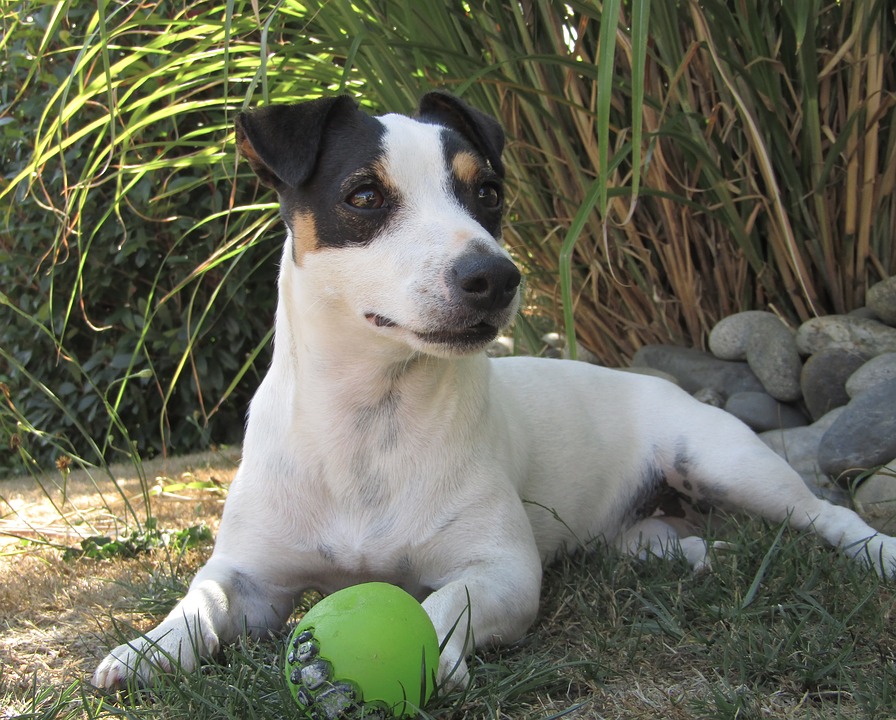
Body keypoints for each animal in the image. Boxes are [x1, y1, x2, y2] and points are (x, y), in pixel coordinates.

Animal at [93, 91, 896, 696]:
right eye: (363, 195)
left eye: (488, 191)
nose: (495, 277)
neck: (367, 423)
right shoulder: (252, 574)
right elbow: (202, 600)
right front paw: (146, 649)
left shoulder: (503, 570)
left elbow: (446, 600)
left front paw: (428, 649)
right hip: (643, 526)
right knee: (667, 540)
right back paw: (693, 554)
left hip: (726, 463)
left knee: (825, 514)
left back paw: (876, 552)